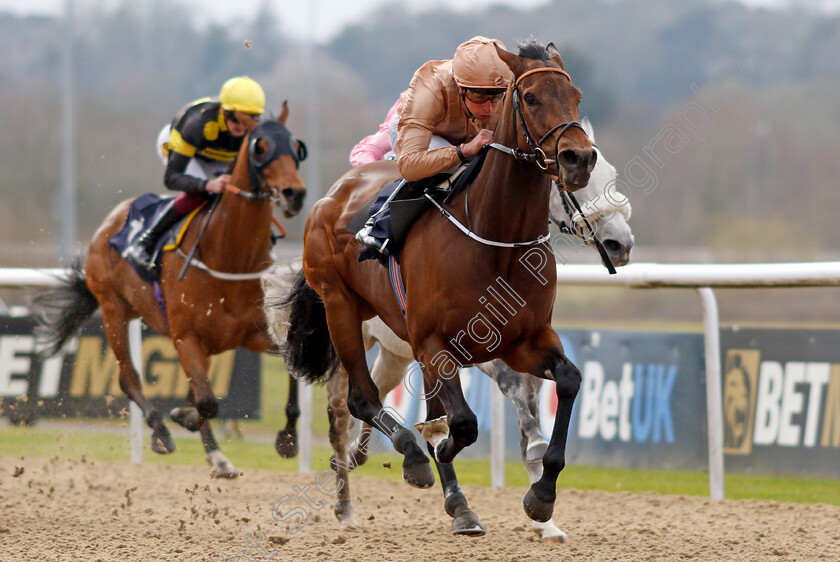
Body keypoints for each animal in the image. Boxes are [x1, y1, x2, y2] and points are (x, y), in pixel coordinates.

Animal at [35, 106, 308, 476]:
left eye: (296, 147)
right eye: (260, 147)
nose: (295, 193)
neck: (229, 256)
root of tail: (111, 219)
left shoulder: (252, 333)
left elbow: (287, 370)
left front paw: (287, 439)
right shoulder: (186, 337)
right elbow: (206, 402)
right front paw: (180, 418)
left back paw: (216, 455)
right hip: (113, 310)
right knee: (129, 378)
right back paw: (161, 432)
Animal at [262, 118, 632, 544]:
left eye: (609, 173)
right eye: (575, 183)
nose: (621, 244)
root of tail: (332, 196)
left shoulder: (517, 344)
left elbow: (529, 415)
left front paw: (544, 513)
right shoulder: (464, 346)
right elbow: (499, 404)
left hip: (397, 352)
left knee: (385, 393)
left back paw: (377, 458)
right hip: (347, 323)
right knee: (345, 410)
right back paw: (348, 504)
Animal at [284, 40, 596, 524]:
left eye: (576, 96)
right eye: (530, 98)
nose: (578, 158)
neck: (497, 239)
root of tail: (333, 193)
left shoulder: (524, 341)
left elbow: (568, 379)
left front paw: (542, 493)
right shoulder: (434, 343)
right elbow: (461, 423)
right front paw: (434, 443)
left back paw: (454, 500)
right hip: (340, 307)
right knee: (361, 399)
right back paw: (407, 461)